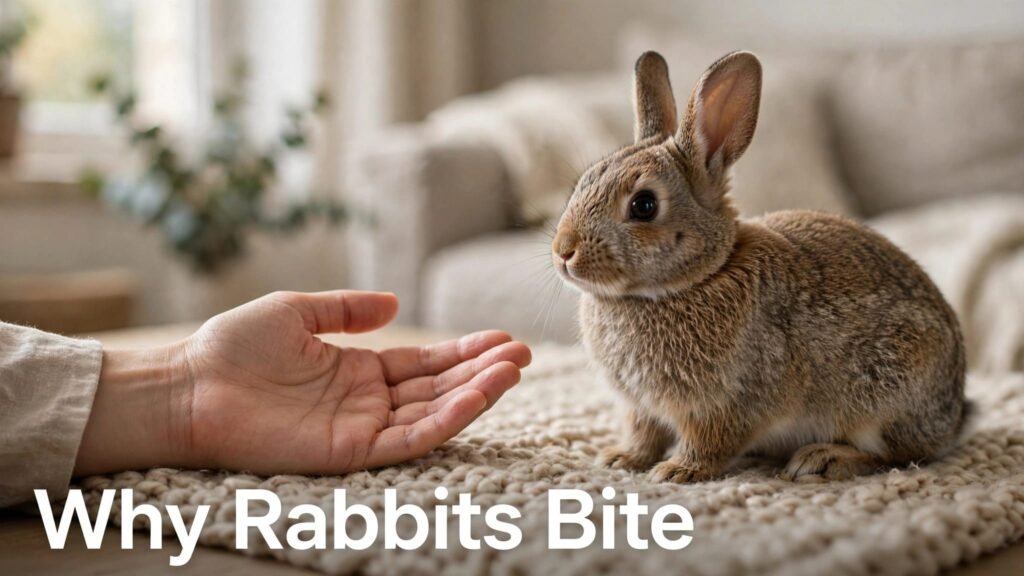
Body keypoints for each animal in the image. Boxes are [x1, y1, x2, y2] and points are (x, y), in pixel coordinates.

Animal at [551, 50, 970, 483]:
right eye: (583, 183)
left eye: (644, 205)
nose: (564, 251)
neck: (700, 276)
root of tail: (954, 413)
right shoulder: (642, 407)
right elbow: (643, 434)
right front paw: (620, 459)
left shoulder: (728, 402)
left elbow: (710, 442)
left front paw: (678, 471)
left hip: (886, 394)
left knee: (900, 456)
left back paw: (822, 459)